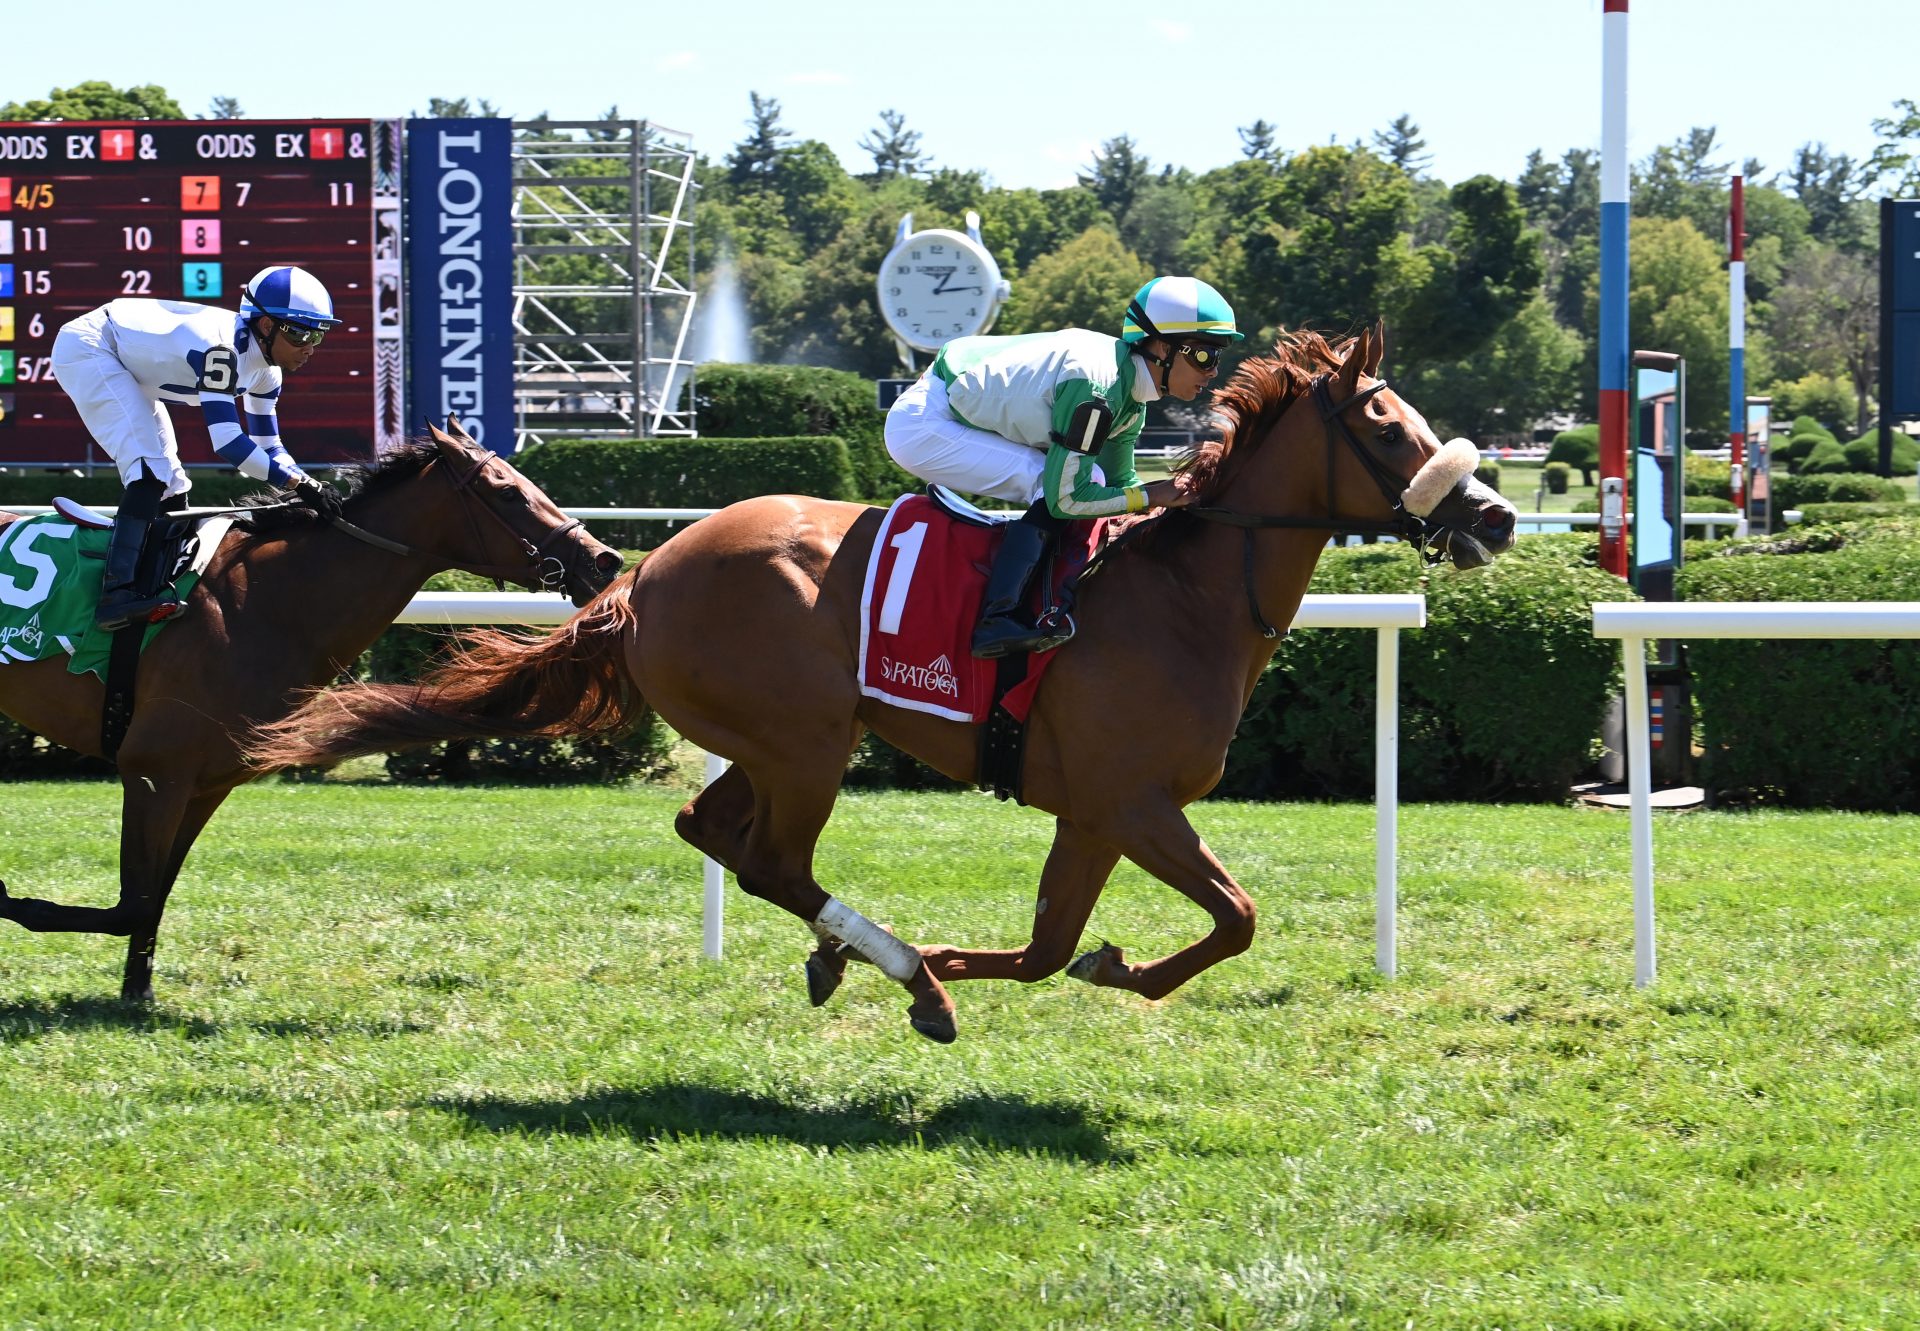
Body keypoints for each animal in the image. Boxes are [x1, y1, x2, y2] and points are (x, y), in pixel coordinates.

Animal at [0, 420, 618, 998]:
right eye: (507, 491)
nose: (603, 560)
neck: (265, 604)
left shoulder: (204, 782)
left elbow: (153, 896)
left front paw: (139, 993)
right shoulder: (155, 769)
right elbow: (133, 903)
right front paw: (17, 903)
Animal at [251, 322, 1512, 1037]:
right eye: (1388, 428)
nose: (1496, 515)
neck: (1190, 595)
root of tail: (645, 570)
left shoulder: (1095, 812)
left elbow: (1058, 946)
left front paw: (1074, 959)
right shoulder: (1135, 801)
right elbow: (1234, 916)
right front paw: (1081, 967)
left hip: (771, 743)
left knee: (710, 828)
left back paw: (865, 957)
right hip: (807, 742)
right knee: (771, 859)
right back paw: (907, 975)